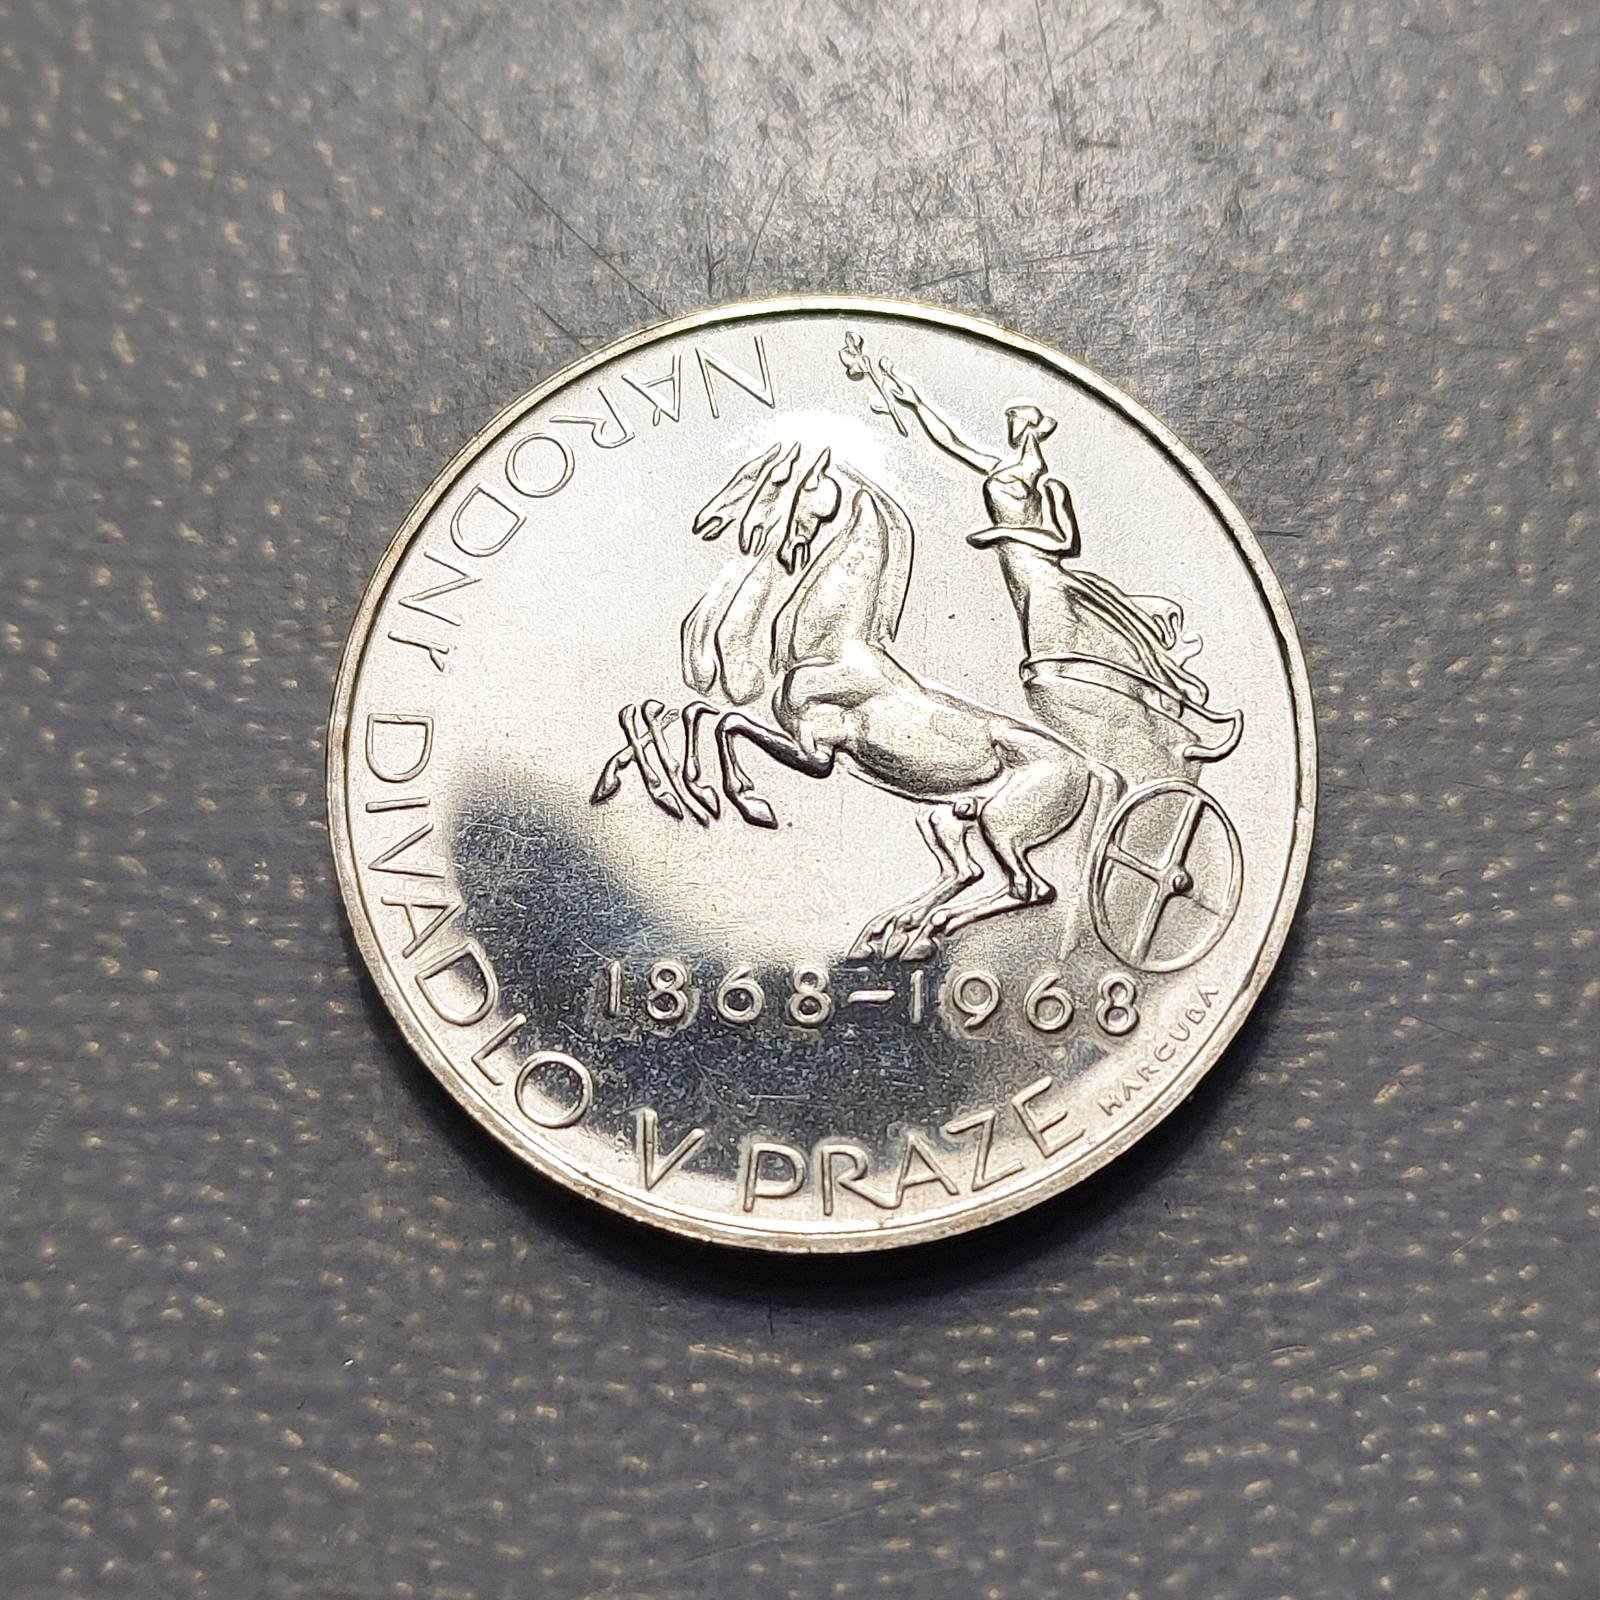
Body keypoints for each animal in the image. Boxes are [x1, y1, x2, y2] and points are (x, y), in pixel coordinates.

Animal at [591, 444, 1100, 961]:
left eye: (774, 479)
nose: (710, 521)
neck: (833, 644)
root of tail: (1090, 768)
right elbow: (697, 712)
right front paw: (688, 790)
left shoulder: (817, 755)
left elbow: (727, 722)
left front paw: (745, 800)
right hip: (945, 816)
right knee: (968, 871)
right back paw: (891, 931)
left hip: (1001, 823)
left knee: (1029, 887)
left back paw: (913, 932)